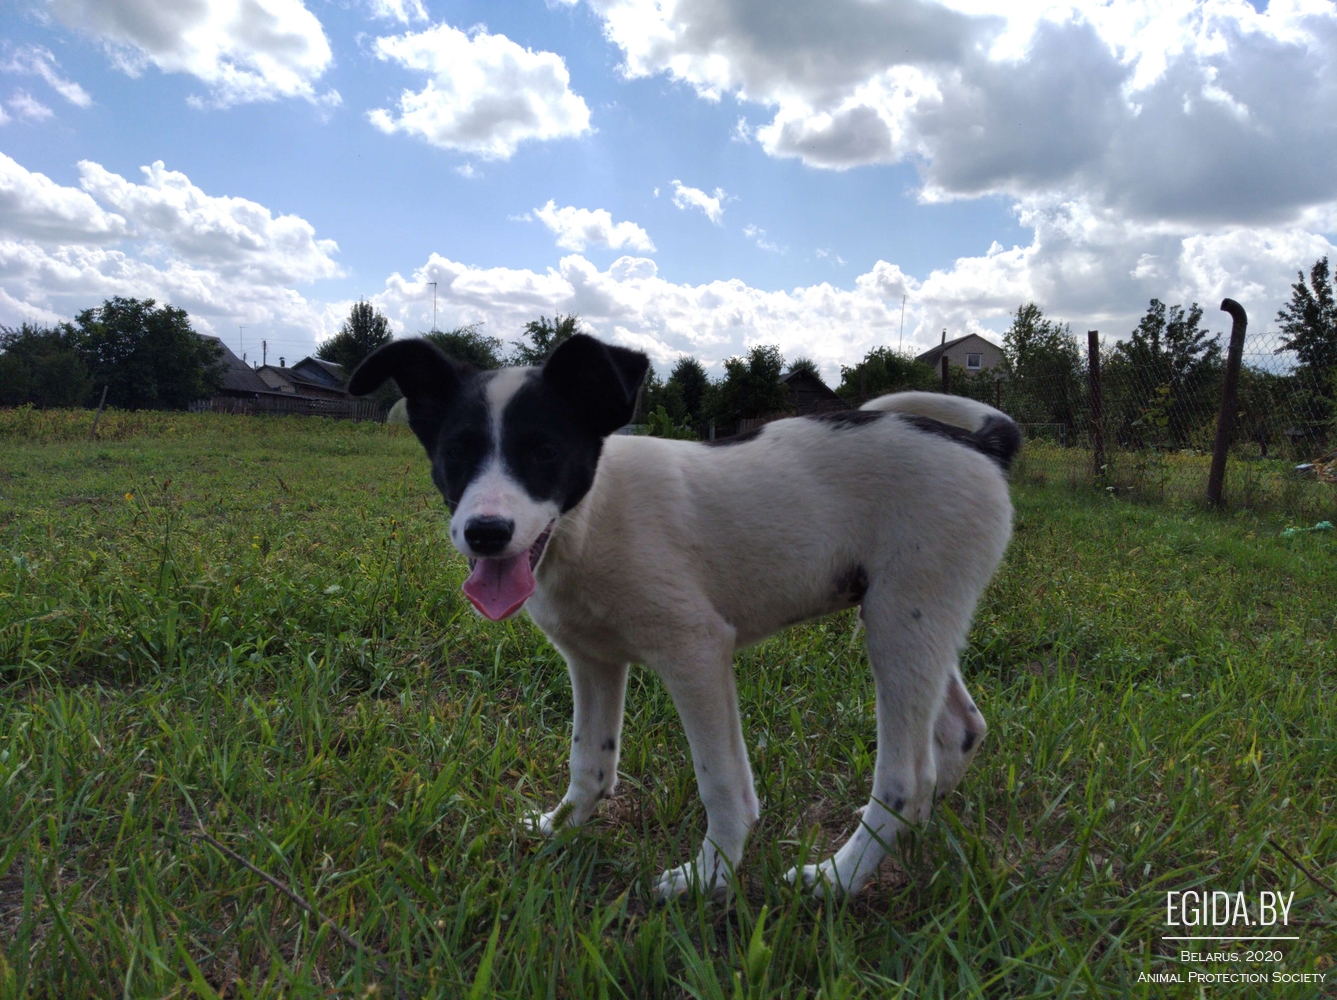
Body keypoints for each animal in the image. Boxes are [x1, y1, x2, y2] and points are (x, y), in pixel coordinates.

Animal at [350, 334, 1018, 898]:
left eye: (543, 452)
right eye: (455, 454)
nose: (485, 533)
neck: (589, 522)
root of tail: (978, 444)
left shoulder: (696, 651)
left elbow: (720, 781)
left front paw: (710, 876)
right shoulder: (591, 659)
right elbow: (590, 759)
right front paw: (562, 827)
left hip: (901, 620)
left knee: (907, 778)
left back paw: (840, 877)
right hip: (911, 619)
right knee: (960, 730)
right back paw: (912, 835)